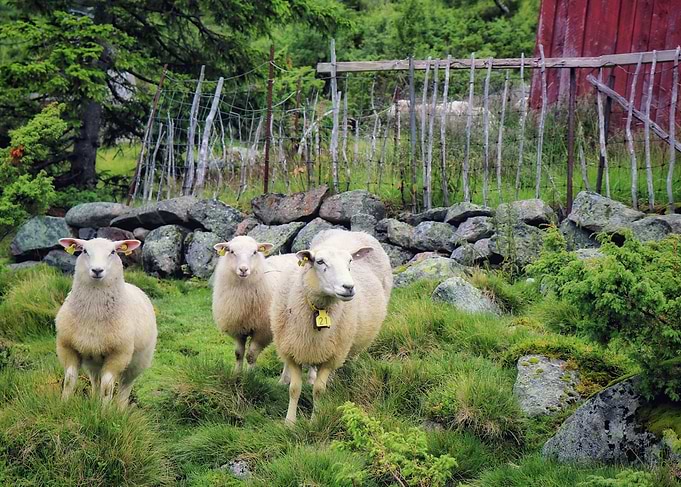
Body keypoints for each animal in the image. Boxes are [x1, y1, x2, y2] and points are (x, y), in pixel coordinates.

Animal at [55, 237, 157, 407]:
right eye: (84, 251)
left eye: (113, 252)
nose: (97, 270)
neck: (93, 315)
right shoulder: (67, 347)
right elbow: (69, 380)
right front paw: (64, 405)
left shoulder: (118, 354)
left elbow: (107, 387)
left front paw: (104, 411)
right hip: (93, 361)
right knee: (95, 381)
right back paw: (94, 402)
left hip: (137, 362)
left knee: (125, 387)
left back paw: (120, 409)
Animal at [212, 235, 298, 373]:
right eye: (231, 251)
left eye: (255, 252)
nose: (243, 269)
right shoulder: (237, 329)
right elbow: (238, 354)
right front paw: (237, 374)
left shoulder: (262, 332)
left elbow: (251, 355)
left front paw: (249, 375)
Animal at [270, 229, 393, 424]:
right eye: (320, 262)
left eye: (350, 261)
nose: (349, 287)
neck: (319, 309)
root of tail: (352, 231)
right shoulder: (292, 351)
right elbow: (294, 389)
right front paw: (289, 422)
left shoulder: (332, 356)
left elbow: (319, 390)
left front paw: (315, 420)